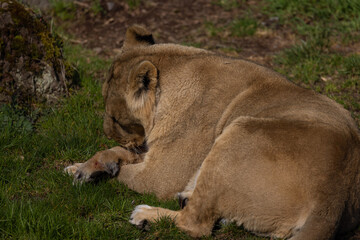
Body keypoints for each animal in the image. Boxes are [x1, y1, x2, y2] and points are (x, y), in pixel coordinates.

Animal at [64, 25, 360, 239]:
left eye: (115, 118)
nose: (107, 132)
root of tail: (334, 195)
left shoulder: (161, 177)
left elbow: (126, 173)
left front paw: (93, 171)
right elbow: (117, 154)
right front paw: (81, 166)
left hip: (239, 132)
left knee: (195, 225)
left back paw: (146, 215)